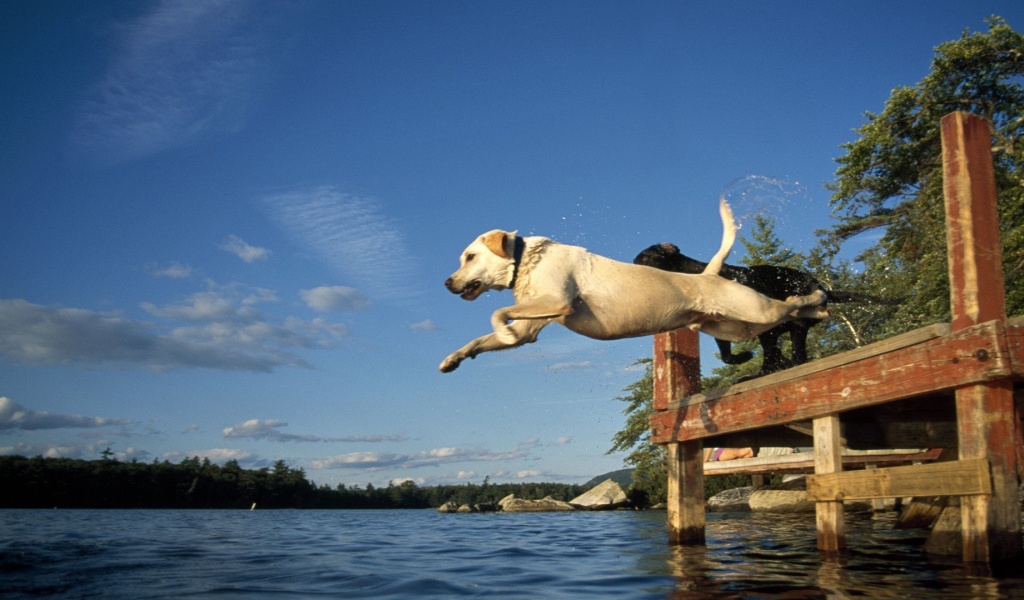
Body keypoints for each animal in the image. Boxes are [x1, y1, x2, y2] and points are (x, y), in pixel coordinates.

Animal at [438, 198, 823, 370]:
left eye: (469, 257)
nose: (446, 282)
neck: (524, 260)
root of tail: (709, 274)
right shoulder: (529, 329)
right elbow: (481, 339)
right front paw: (453, 359)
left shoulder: (556, 301)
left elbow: (498, 314)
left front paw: (499, 332)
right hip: (735, 328)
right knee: (775, 326)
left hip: (756, 310)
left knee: (792, 305)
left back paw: (817, 301)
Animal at [630, 241, 897, 372]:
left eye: (645, 259)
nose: (631, 269)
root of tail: (823, 288)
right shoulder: (722, 331)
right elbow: (727, 357)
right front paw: (746, 357)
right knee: (789, 355)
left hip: (791, 327)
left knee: (792, 356)